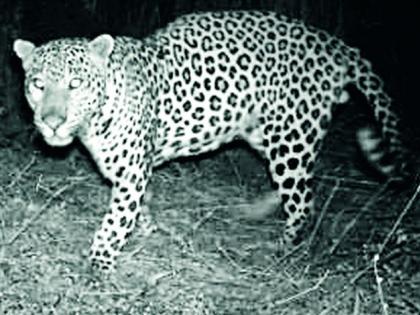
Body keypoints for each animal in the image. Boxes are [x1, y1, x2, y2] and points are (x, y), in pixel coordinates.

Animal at [13, 11, 410, 272]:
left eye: (75, 84)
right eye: (38, 85)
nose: (51, 123)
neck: (94, 119)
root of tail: (336, 45)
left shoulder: (131, 172)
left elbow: (115, 219)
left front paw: (99, 261)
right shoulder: (130, 170)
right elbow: (139, 207)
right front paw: (147, 229)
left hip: (292, 141)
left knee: (303, 201)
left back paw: (283, 249)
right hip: (266, 133)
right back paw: (261, 210)